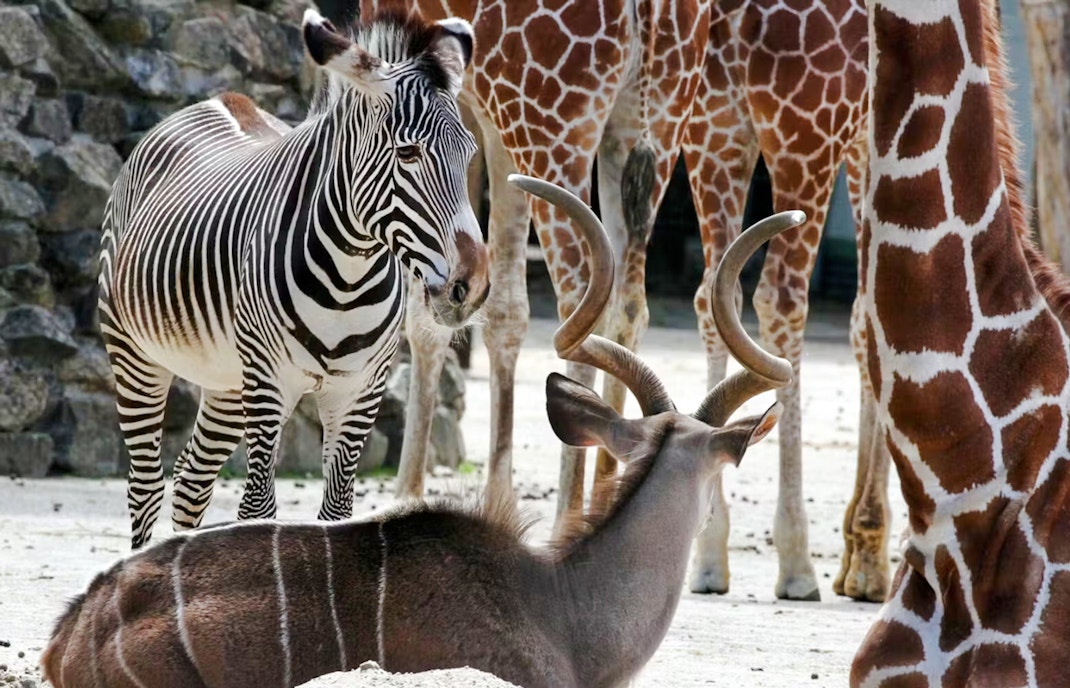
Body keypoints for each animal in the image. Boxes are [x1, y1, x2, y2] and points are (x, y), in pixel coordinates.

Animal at [97, 8, 489, 549]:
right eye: (408, 153)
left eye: (469, 153)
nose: (471, 287)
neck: (348, 278)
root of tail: (216, 100)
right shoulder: (269, 382)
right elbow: (258, 508)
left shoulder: (360, 391)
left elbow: (338, 512)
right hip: (134, 353)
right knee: (146, 486)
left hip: (226, 379)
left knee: (191, 481)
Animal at [681, 0, 885, 602]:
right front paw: (869, 561)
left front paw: (859, 556)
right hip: (805, 134)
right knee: (781, 296)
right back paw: (797, 563)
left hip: (713, 132)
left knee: (715, 291)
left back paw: (709, 556)